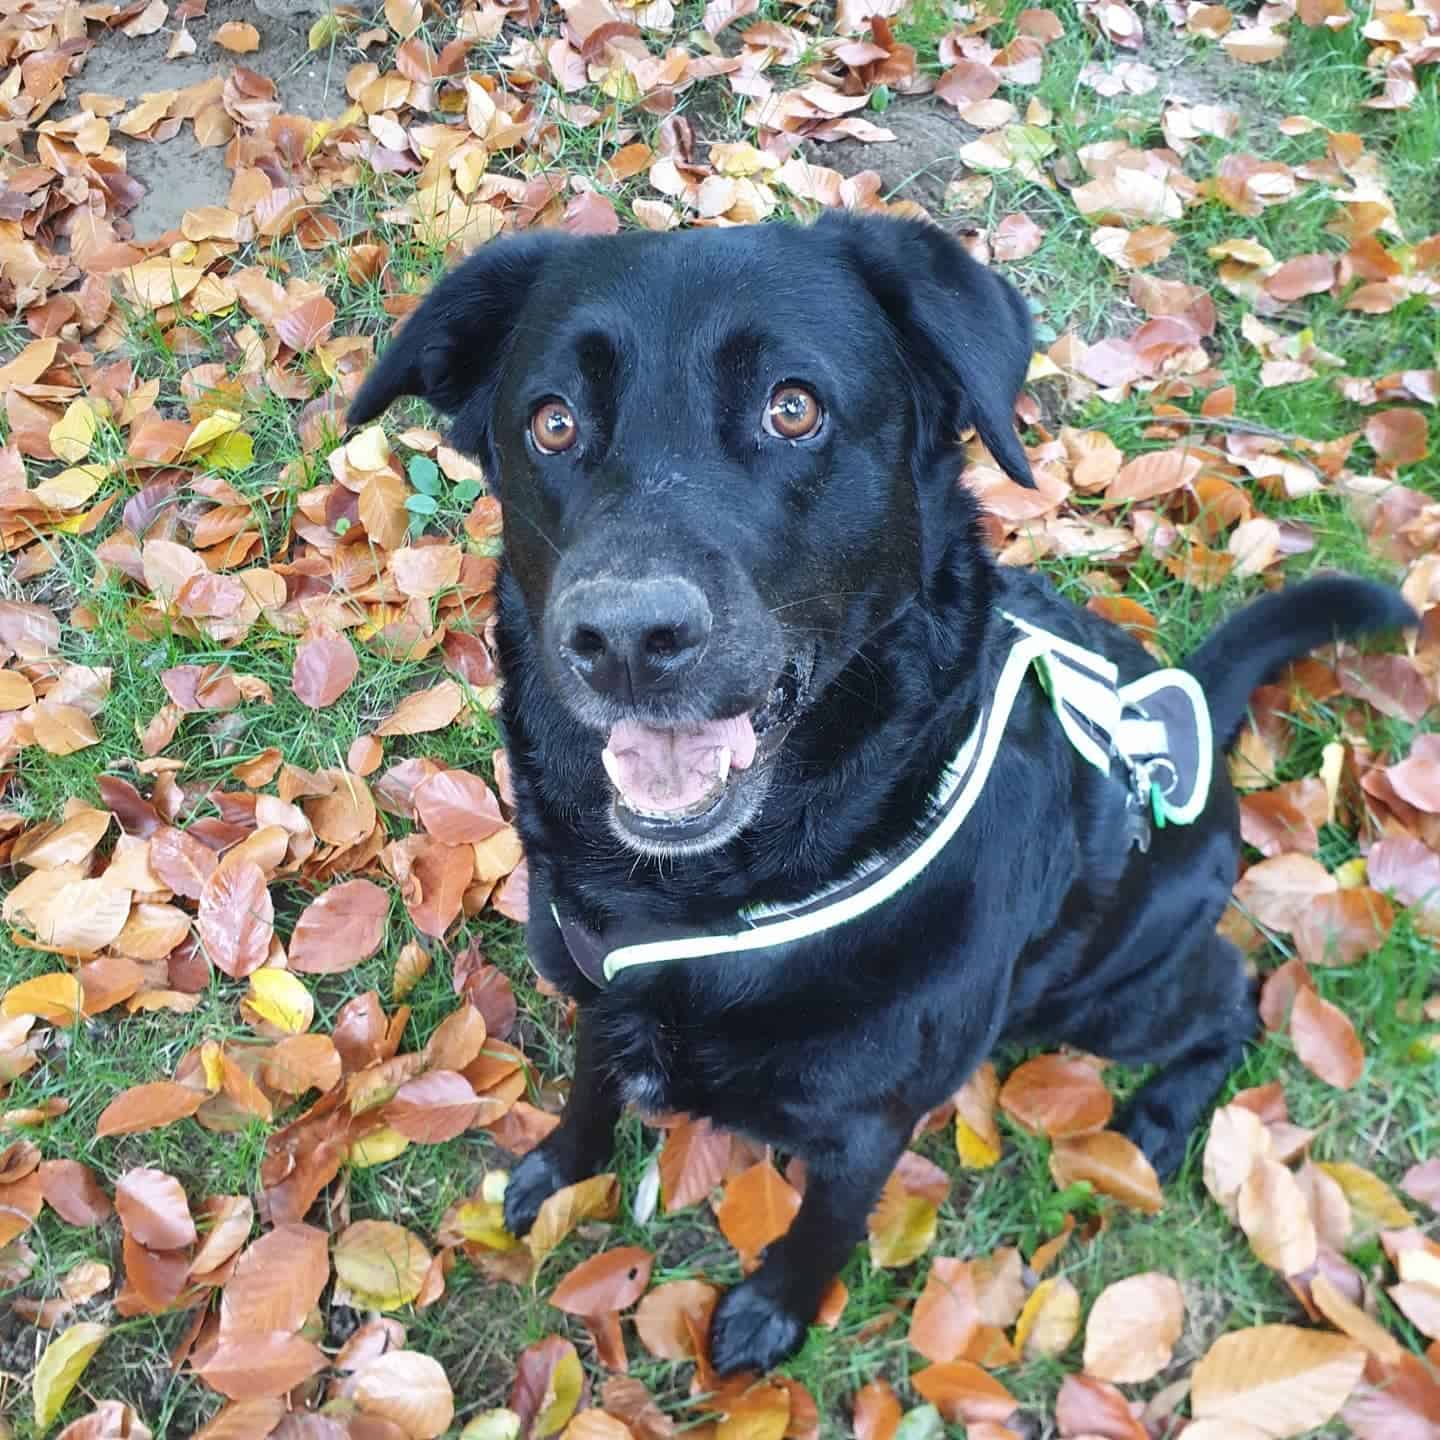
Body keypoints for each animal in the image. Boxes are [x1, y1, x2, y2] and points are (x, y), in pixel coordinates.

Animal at [351, 210, 1416, 1370]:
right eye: (551, 423)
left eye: (793, 408)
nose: (625, 637)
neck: (708, 905)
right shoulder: (604, 990)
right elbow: (592, 1087)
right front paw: (558, 1170)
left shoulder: (867, 1122)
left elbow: (827, 1221)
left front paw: (775, 1309)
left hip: (1105, 994)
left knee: (1228, 996)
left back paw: (1164, 1115)